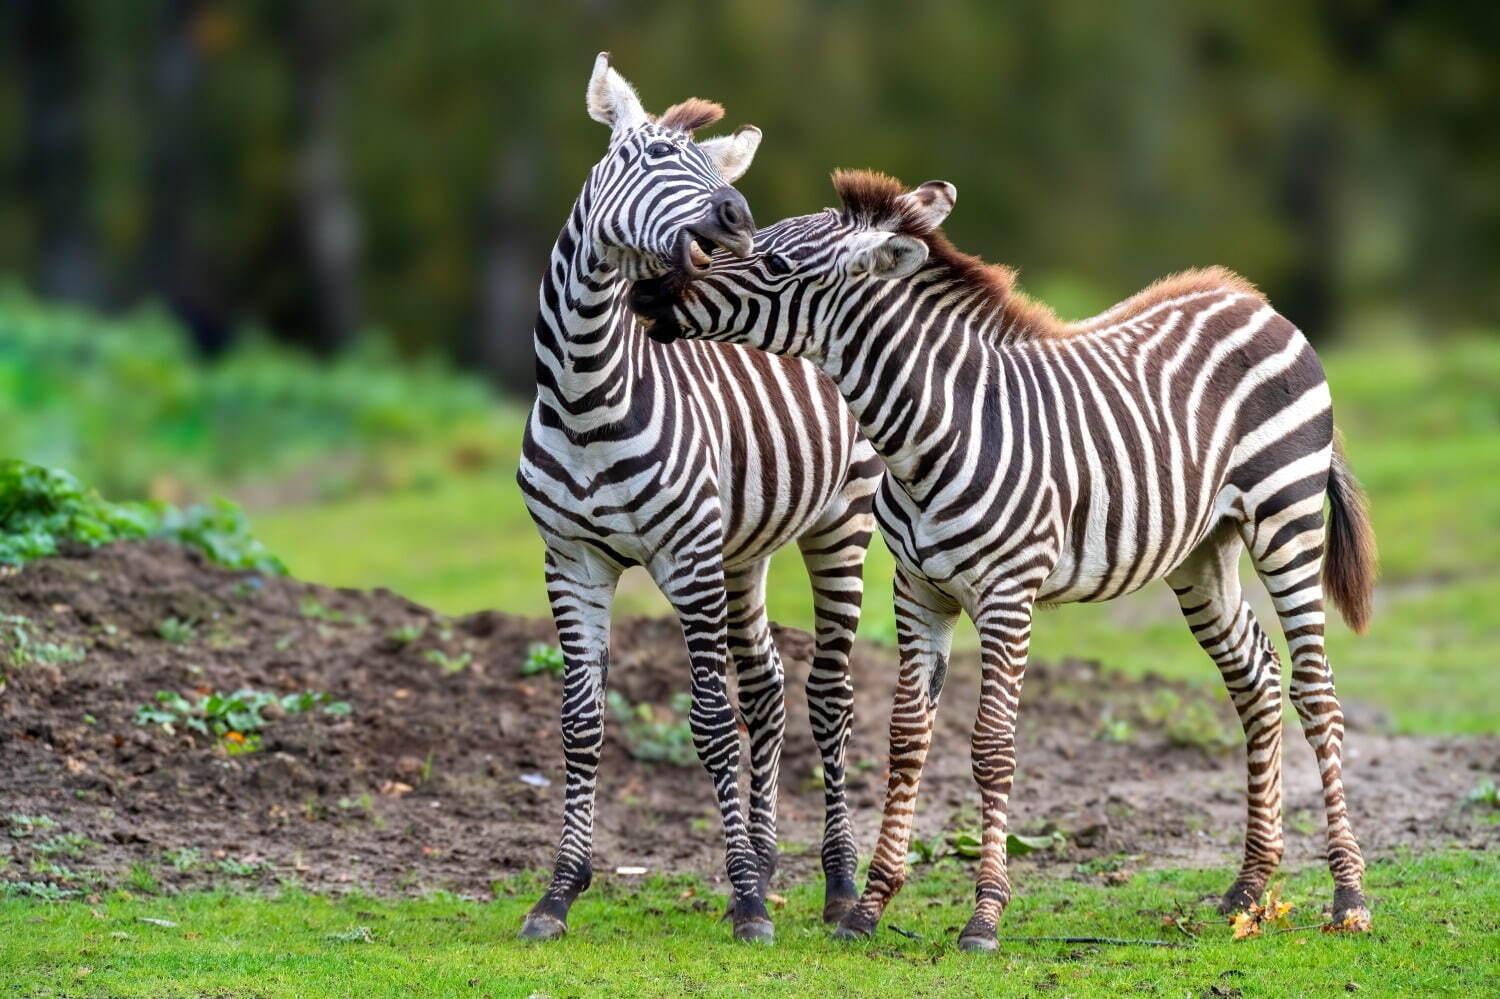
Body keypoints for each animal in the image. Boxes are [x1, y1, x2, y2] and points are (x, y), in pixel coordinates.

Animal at [516, 56, 876, 942]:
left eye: (717, 170)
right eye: (648, 155)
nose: (738, 218)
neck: (585, 392)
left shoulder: (685, 557)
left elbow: (711, 723)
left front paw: (746, 898)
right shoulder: (571, 561)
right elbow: (581, 723)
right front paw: (558, 892)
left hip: (841, 524)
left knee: (830, 695)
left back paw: (838, 882)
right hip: (741, 551)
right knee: (770, 686)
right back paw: (773, 858)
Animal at [627, 171, 1374, 948]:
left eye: (772, 263)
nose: (646, 293)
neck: (930, 435)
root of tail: (1253, 300)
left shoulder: (1007, 595)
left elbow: (992, 748)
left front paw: (984, 914)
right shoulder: (917, 591)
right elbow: (905, 740)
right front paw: (870, 906)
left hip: (1285, 519)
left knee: (1317, 692)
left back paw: (1348, 895)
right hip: (1202, 550)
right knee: (1257, 676)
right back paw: (1249, 884)